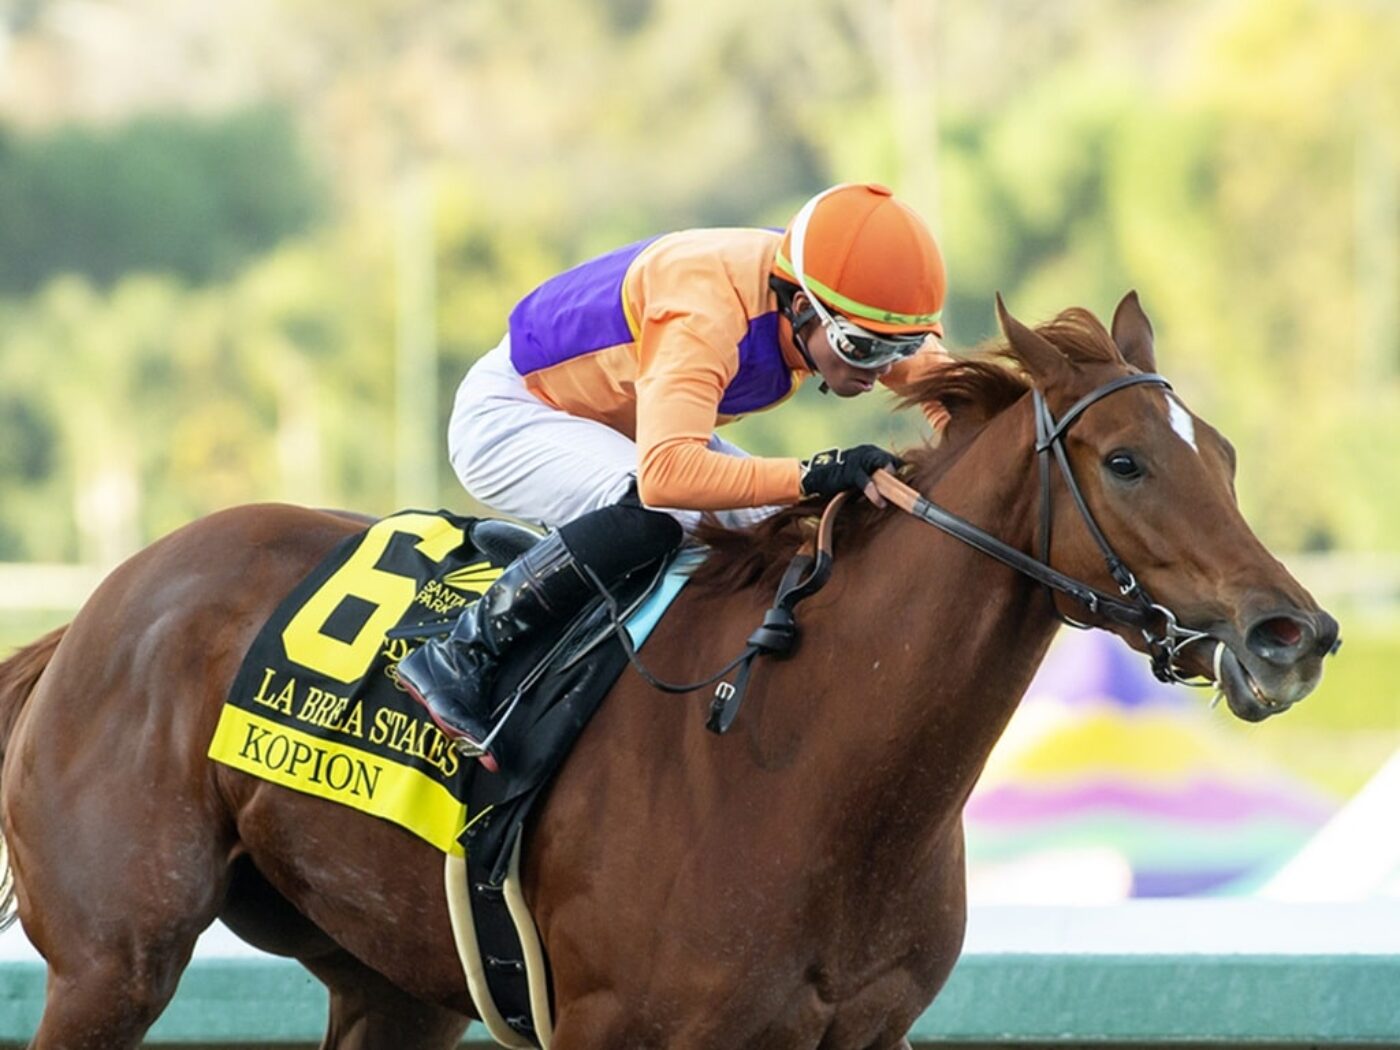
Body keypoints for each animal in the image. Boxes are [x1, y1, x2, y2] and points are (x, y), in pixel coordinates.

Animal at [0, 294, 1332, 1050]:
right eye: (1123, 462)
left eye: (1215, 453)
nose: (1293, 634)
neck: (800, 767)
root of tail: (98, 610)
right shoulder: (615, 1031)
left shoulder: (863, 1036)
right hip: (112, 965)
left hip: (391, 984)